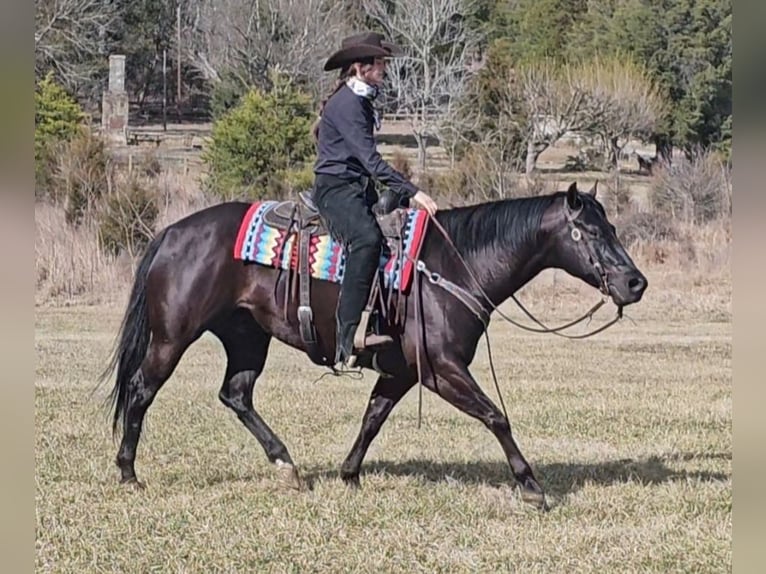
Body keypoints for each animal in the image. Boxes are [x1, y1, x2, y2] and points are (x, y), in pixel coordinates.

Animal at [100, 181, 647, 510]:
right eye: (588, 231)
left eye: (612, 227)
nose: (635, 283)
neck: (451, 263)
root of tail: (171, 233)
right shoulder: (442, 369)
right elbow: (497, 416)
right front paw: (531, 487)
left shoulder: (401, 370)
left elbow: (373, 417)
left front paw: (349, 474)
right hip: (173, 337)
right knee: (142, 390)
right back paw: (128, 472)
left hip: (247, 337)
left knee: (236, 394)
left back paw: (287, 465)